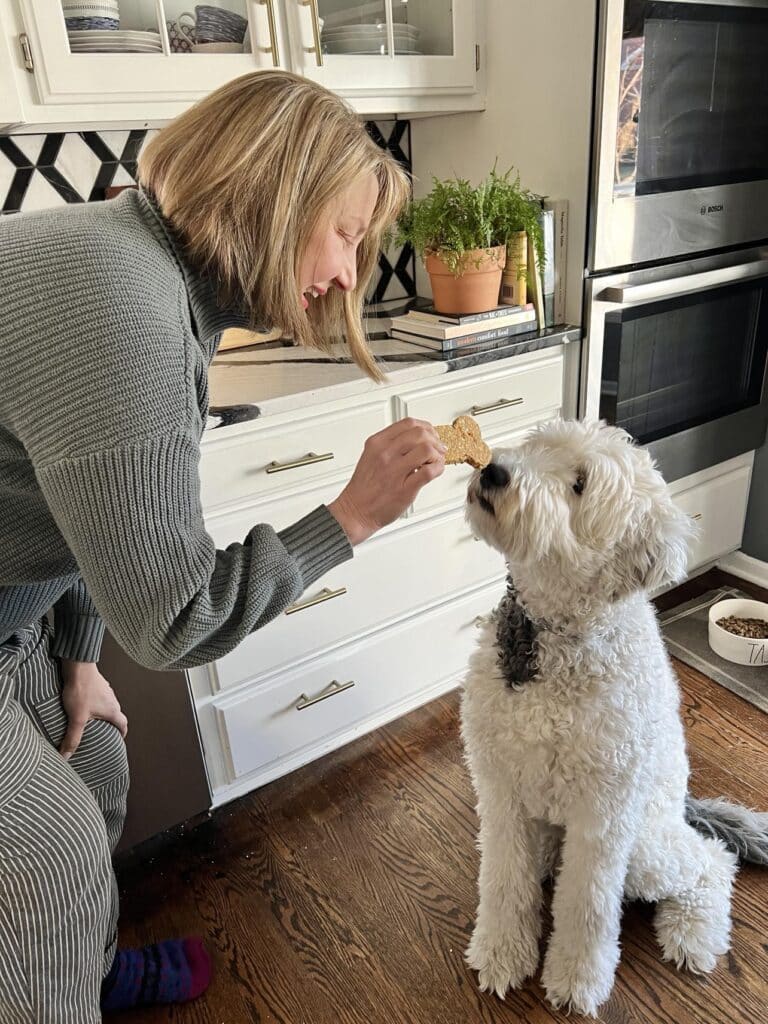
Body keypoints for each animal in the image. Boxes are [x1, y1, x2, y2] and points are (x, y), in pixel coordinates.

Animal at [460, 417, 765, 1015]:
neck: (551, 637)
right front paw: (503, 953)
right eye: (537, 446)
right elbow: (503, 881)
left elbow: (588, 905)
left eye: (579, 485)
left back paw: (693, 934)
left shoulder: (602, 815)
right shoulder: (501, 791)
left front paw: (576, 981)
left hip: (645, 844)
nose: (495, 471)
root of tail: (684, 809)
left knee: (711, 860)